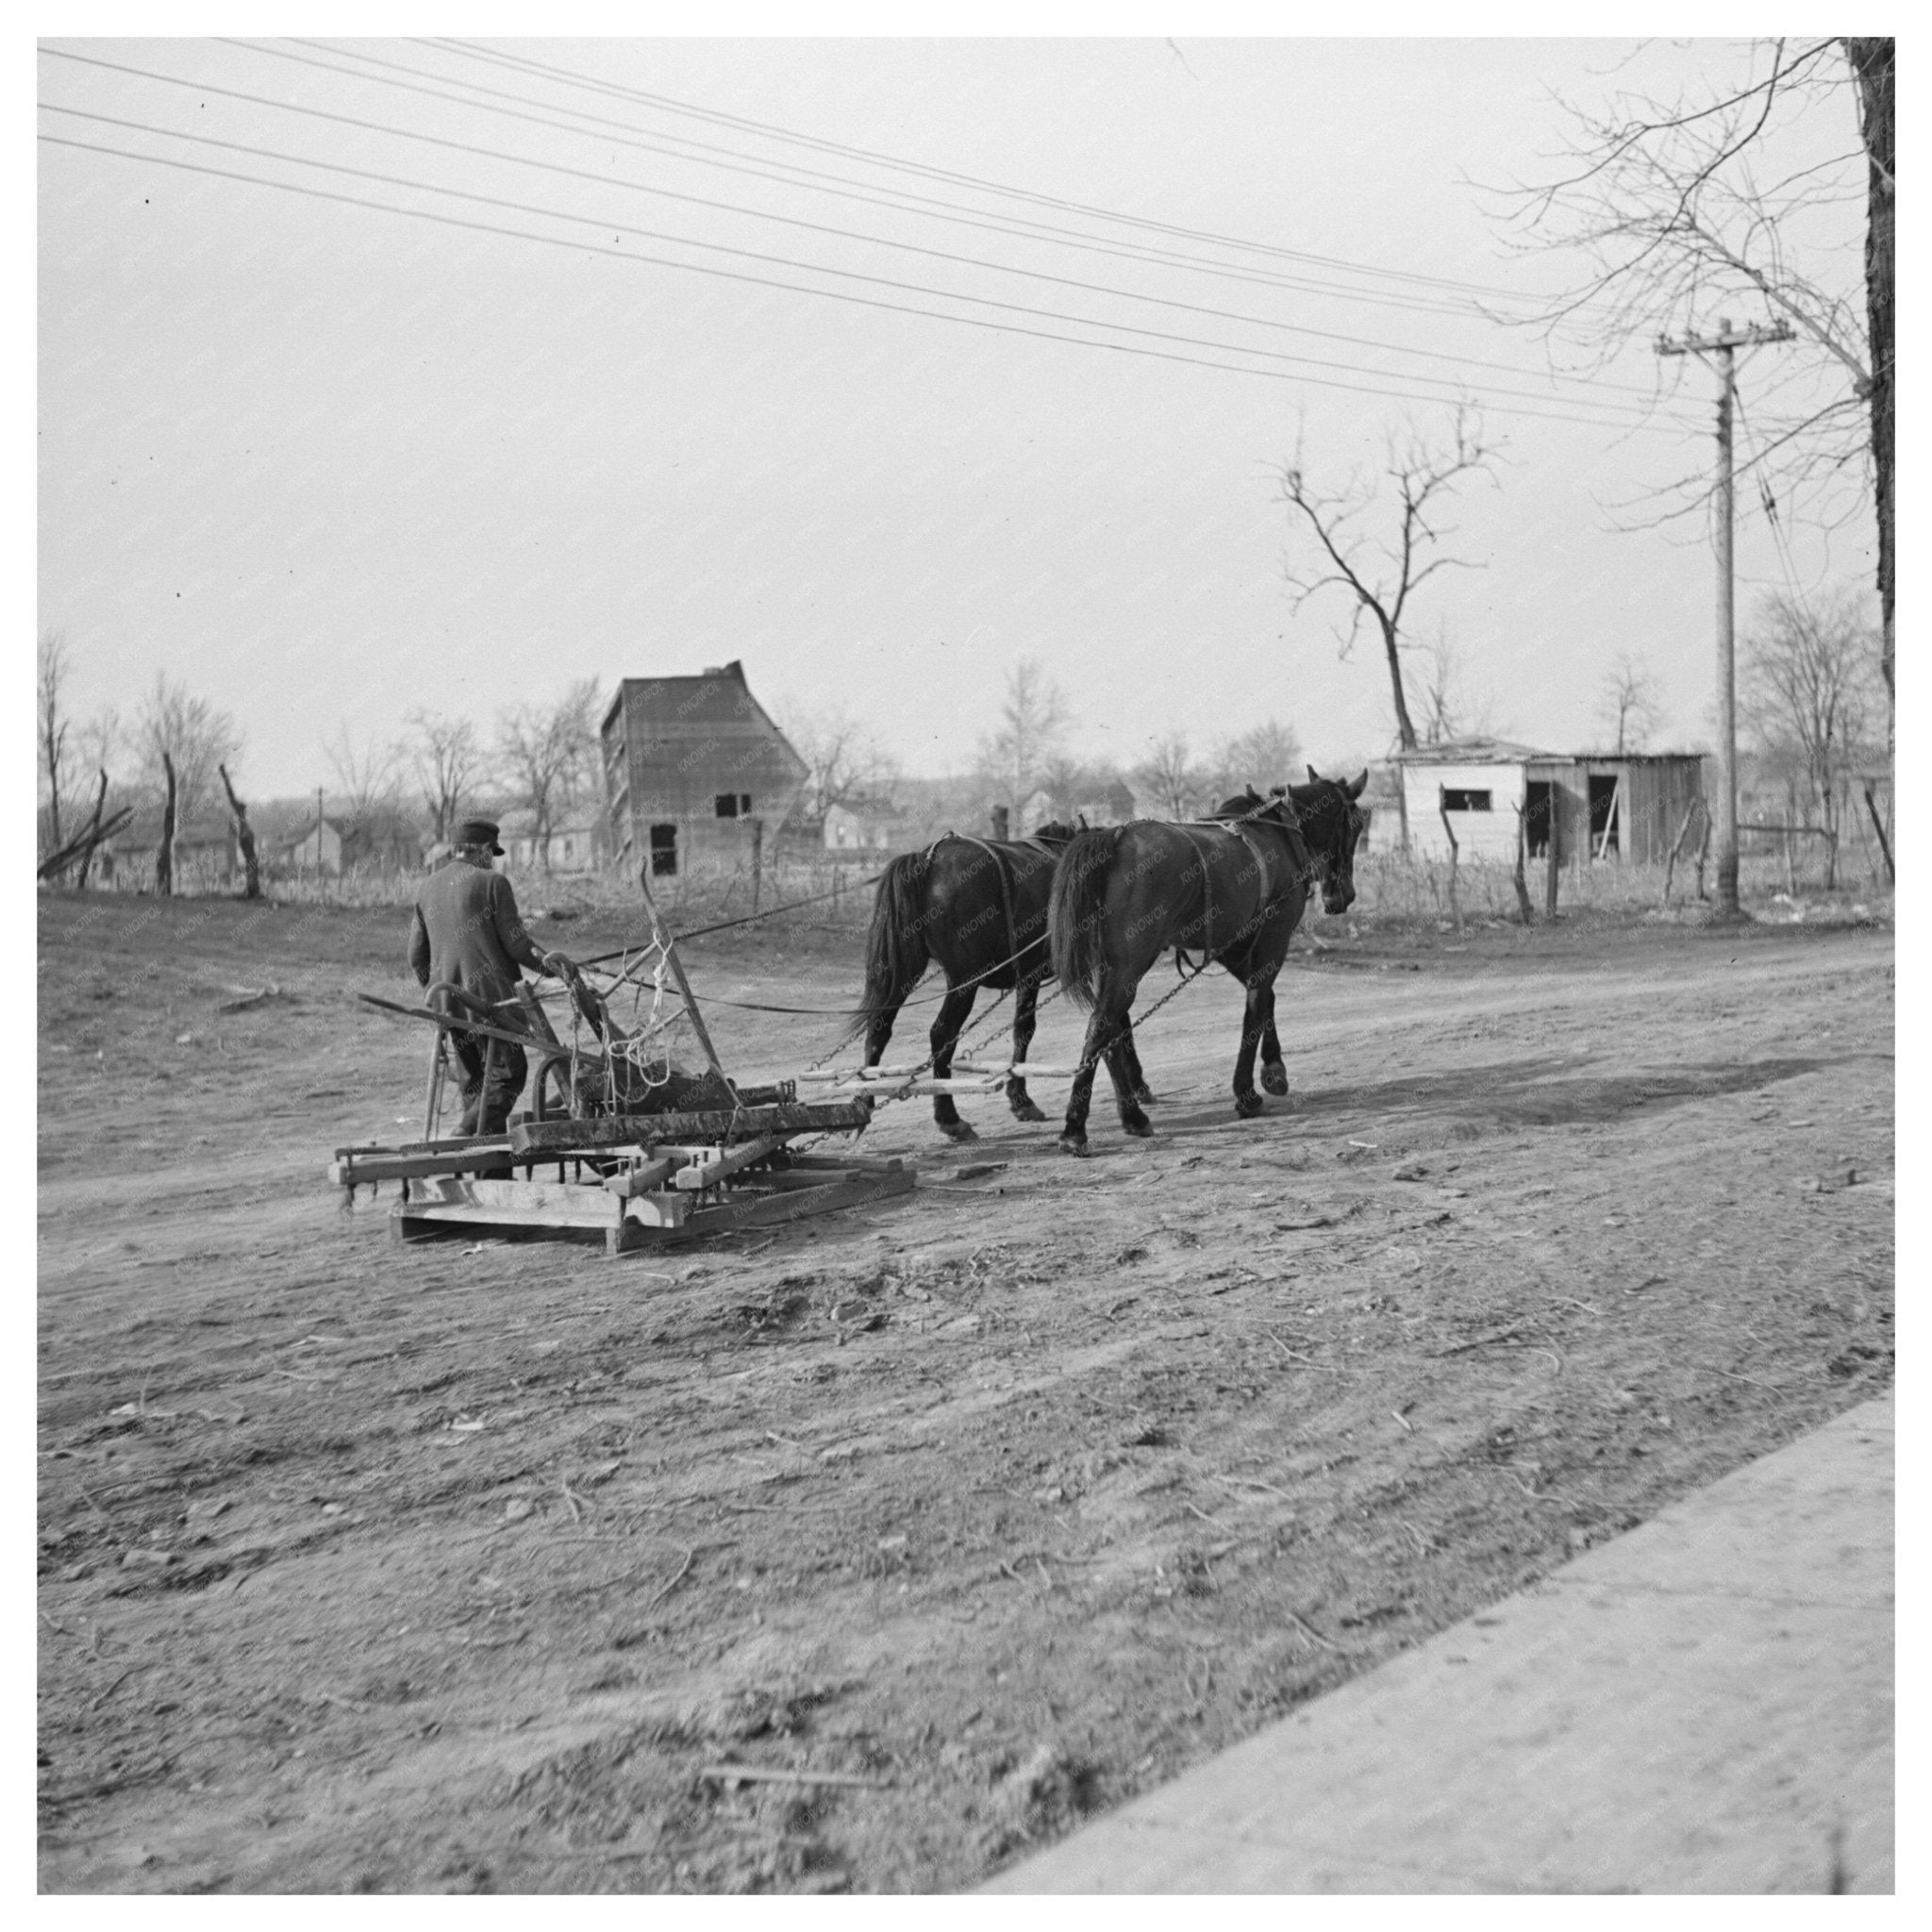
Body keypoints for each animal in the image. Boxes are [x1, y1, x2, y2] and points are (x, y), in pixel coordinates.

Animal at [854, 815, 1151, 1128]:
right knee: (942, 1034)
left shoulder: (1030, 975)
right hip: (964, 980)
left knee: (878, 1029)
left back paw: (863, 1101)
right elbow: (1116, 1023)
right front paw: (1136, 1088)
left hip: (904, 974)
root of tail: (927, 860)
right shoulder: (1102, 966)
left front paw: (1020, 1097)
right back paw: (949, 1117)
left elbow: (1024, 1030)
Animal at [1051, 769, 1367, 1151]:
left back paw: (1132, 1116)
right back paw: (1075, 1128)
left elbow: (1266, 999)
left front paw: (1273, 1069)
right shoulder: (1272, 938)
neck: (1281, 832)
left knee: (1111, 1031)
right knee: (1101, 1025)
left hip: (1111, 967)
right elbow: (1256, 1006)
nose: (1343, 896)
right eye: (1356, 824)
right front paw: (1247, 1093)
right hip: (1130, 964)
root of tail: (1113, 836)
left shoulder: (1231, 944)